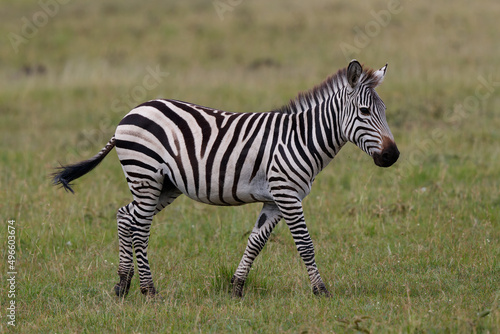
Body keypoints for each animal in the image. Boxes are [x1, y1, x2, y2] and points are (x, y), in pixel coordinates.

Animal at [52, 59, 398, 298]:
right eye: (365, 112)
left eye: (384, 111)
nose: (392, 156)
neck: (301, 139)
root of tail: (129, 114)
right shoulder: (287, 194)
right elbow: (305, 244)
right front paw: (321, 291)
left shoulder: (275, 200)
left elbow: (256, 242)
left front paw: (236, 287)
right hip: (145, 176)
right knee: (138, 226)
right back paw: (149, 290)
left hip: (164, 185)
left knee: (125, 216)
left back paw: (122, 286)